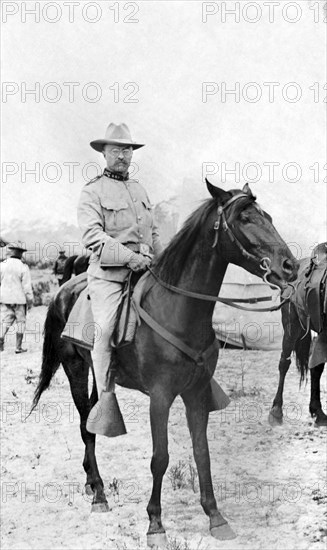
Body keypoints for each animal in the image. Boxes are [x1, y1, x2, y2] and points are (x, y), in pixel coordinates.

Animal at [32, 183, 298, 544]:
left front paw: (215, 517)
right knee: (85, 425)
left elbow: (202, 452)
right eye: (244, 218)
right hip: (75, 368)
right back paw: (99, 493)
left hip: (99, 374)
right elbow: (160, 457)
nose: (290, 266)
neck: (178, 309)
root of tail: (62, 291)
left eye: (267, 216)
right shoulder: (160, 397)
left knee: (93, 417)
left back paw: (90, 482)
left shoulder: (196, 394)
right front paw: (155, 524)